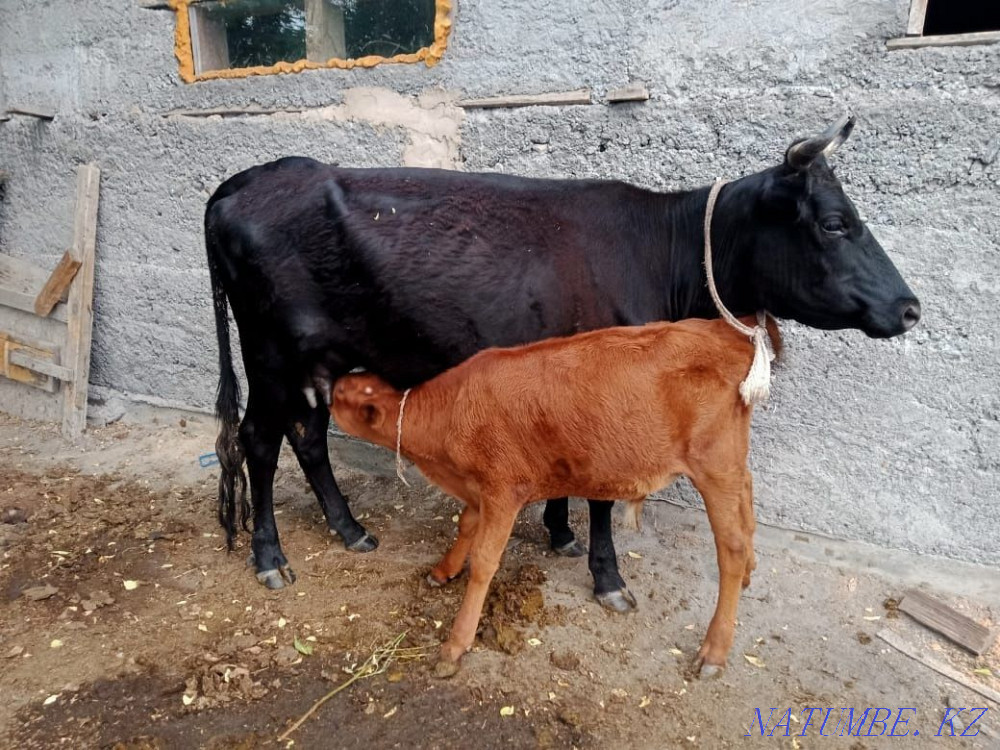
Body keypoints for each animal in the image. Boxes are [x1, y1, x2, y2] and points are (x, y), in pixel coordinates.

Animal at [205, 114, 920, 604]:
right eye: (834, 223)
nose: (911, 308)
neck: (658, 250)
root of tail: (246, 180)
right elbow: (600, 495)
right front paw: (607, 576)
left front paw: (558, 532)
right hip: (270, 357)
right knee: (259, 442)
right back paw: (269, 557)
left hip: (316, 360)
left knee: (309, 437)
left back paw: (350, 529)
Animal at [330, 315, 783, 677]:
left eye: (338, 397)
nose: (325, 385)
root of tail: (722, 330)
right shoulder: (478, 489)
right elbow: (466, 524)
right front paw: (443, 570)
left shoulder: (503, 488)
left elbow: (485, 562)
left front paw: (455, 645)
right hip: (729, 462)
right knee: (748, 503)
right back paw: (749, 573)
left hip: (713, 463)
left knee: (731, 545)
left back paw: (714, 650)